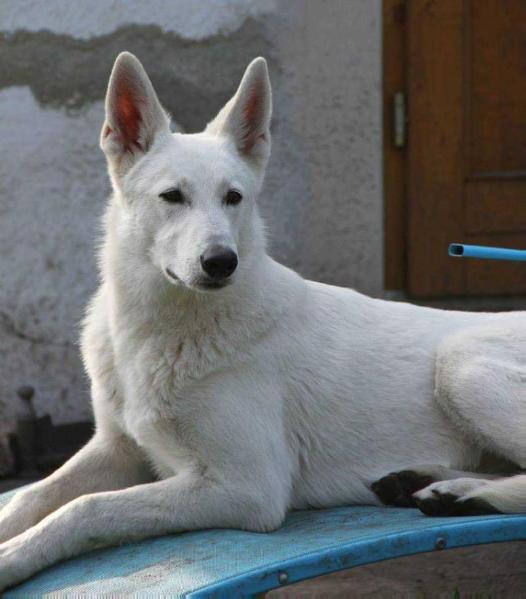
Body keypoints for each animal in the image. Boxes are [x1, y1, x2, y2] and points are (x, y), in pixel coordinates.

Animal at [1, 52, 526, 592]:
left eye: (234, 197)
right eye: (172, 197)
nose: (221, 262)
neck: (163, 330)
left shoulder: (245, 488)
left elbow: (88, 509)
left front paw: (13, 556)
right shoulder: (116, 448)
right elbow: (32, 496)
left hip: (459, 363)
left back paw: (461, 494)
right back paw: (424, 481)